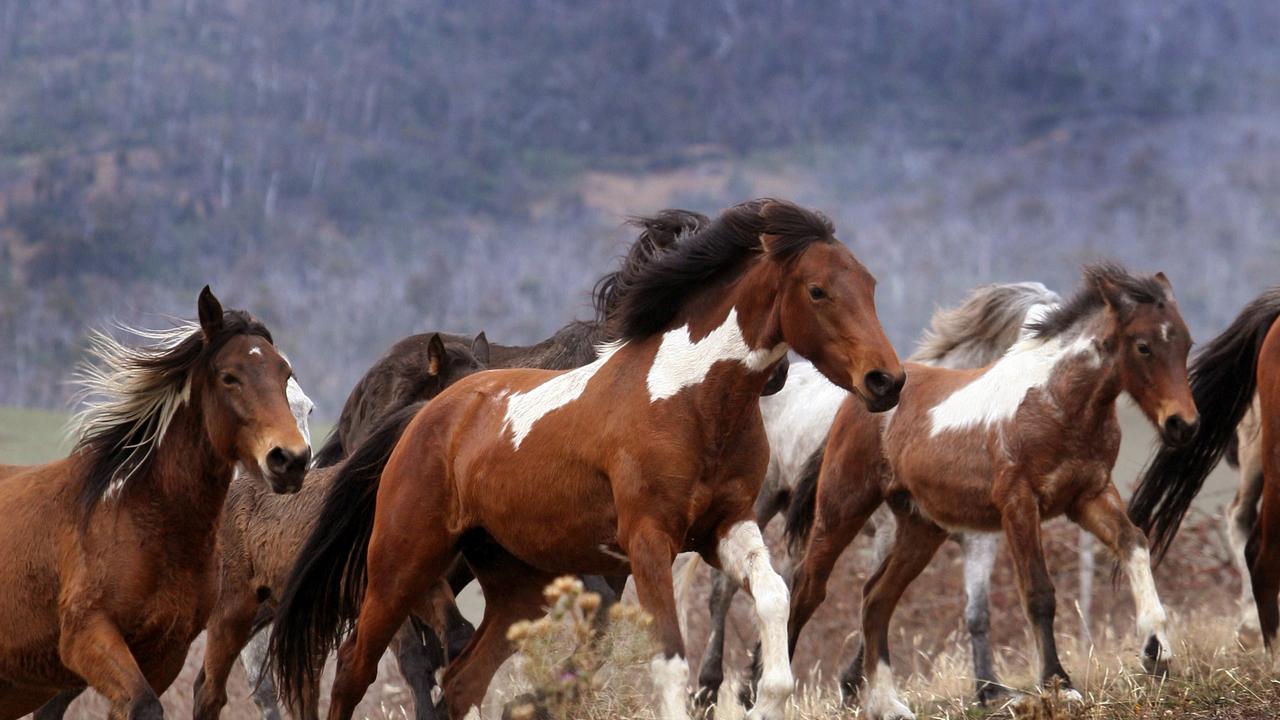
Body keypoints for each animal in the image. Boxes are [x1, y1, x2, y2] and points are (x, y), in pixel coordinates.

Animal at [0, 286, 309, 717]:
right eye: (229, 377)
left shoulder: (166, 652)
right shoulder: (86, 636)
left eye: (285, 374)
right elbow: (143, 705)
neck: (144, 520)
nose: (291, 459)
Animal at [267, 197, 911, 717]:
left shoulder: (725, 527)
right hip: (401, 562)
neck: (691, 401)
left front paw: (765, 695)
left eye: (873, 285)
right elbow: (667, 659)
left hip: (514, 584)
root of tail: (424, 414)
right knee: (362, 667)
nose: (887, 381)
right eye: (818, 291)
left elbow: (774, 598)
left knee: (461, 677)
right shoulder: (646, 541)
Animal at [783, 263, 1192, 717]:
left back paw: (888, 704)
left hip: (922, 529)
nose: (1183, 424)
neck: (1055, 402)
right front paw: (1059, 684)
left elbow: (1134, 543)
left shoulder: (1088, 496)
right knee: (806, 589)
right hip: (842, 508)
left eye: (1187, 342)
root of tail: (860, 399)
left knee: (875, 598)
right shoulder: (1019, 504)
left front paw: (1157, 653)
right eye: (1143, 346)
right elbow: (1039, 593)